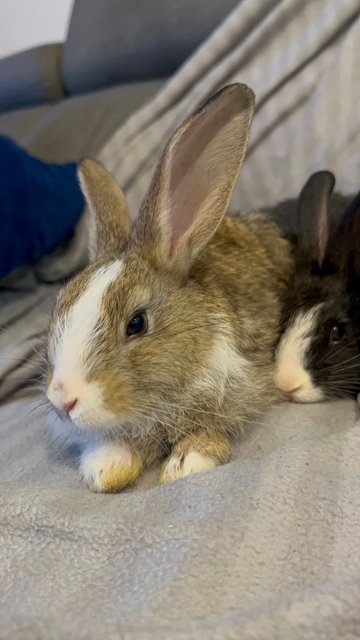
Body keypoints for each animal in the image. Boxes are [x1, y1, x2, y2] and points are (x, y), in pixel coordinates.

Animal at [45, 85, 292, 492]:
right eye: (58, 308)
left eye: (137, 324)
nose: (63, 399)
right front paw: (107, 467)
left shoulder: (240, 383)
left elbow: (213, 424)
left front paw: (188, 461)